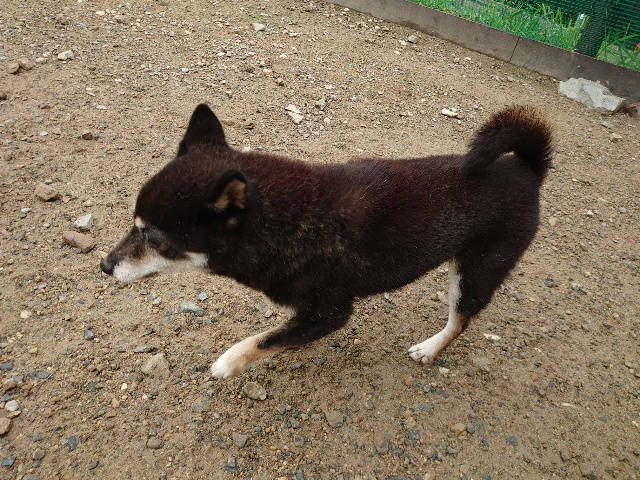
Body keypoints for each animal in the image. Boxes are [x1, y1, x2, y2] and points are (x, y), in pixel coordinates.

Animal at [101, 103, 552, 379]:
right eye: (133, 225)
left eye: (154, 238)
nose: (104, 266)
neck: (282, 226)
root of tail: (526, 168)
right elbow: (285, 334)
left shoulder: (331, 312)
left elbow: (263, 340)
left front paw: (229, 362)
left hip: (477, 270)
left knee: (460, 321)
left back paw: (430, 348)